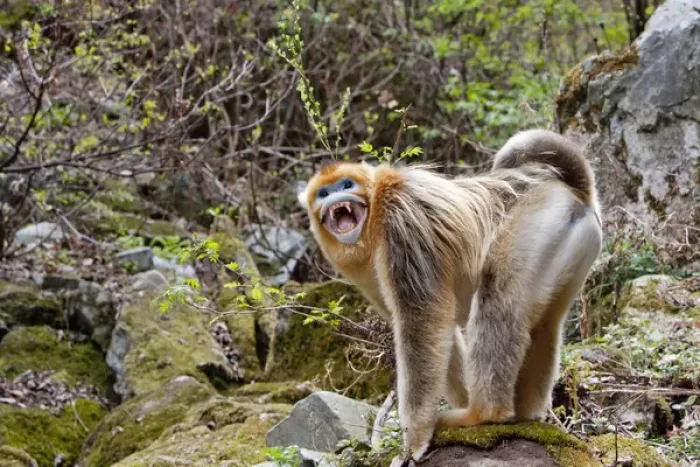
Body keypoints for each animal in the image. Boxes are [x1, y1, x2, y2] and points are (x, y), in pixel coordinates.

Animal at [297, 129, 603, 463]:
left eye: (346, 186)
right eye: (324, 193)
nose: (335, 197)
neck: (375, 209)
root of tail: (576, 192)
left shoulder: (400, 223)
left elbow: (422, 323)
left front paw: (414, 440)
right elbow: (439, 332)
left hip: (537, 221)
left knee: (499, 301)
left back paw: (483, 414)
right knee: (546, 324)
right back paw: (523, 414)